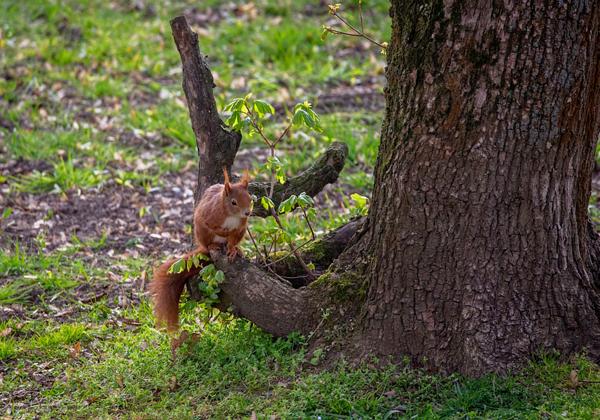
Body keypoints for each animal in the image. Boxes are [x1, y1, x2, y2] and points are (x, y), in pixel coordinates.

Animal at [152, 169, 253, 330]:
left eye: (250, 198)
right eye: (234, 202)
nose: (247, 213)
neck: (231, 215)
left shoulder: (240, 228)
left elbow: (233, 239)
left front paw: (232, 249)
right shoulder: (209, 215)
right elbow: (212, 226)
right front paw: (223, 231)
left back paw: (237, 249)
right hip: (202, 232)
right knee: (208, 242)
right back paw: (213, 245)